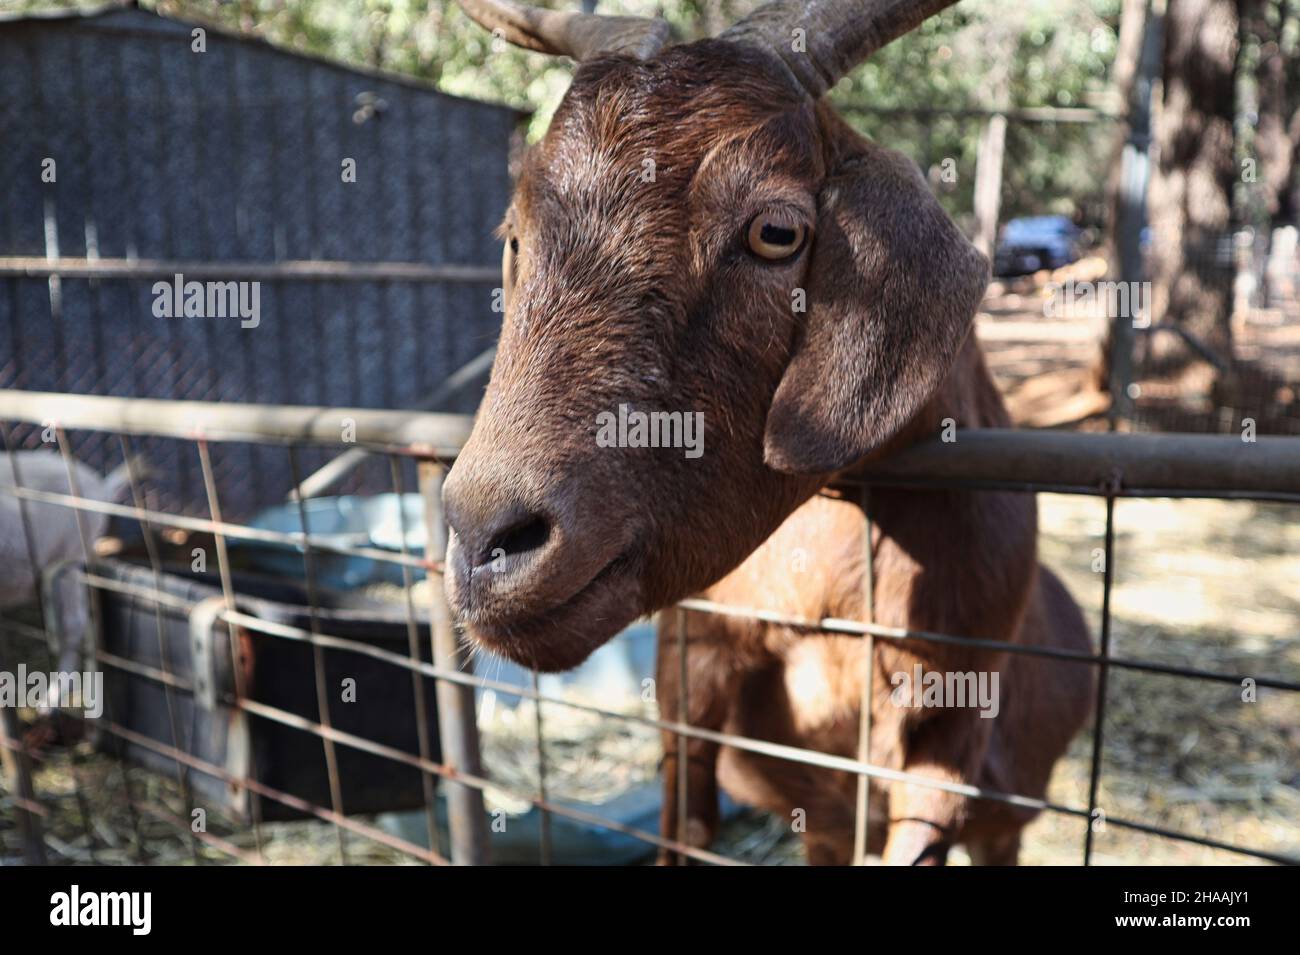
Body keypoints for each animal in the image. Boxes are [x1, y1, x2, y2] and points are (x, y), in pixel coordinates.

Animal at [441, 0, 1092, 867]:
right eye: (513, 234)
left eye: (776, 231)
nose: (487, 537)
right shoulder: (691, 664)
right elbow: (684, 822)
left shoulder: (951, 723)